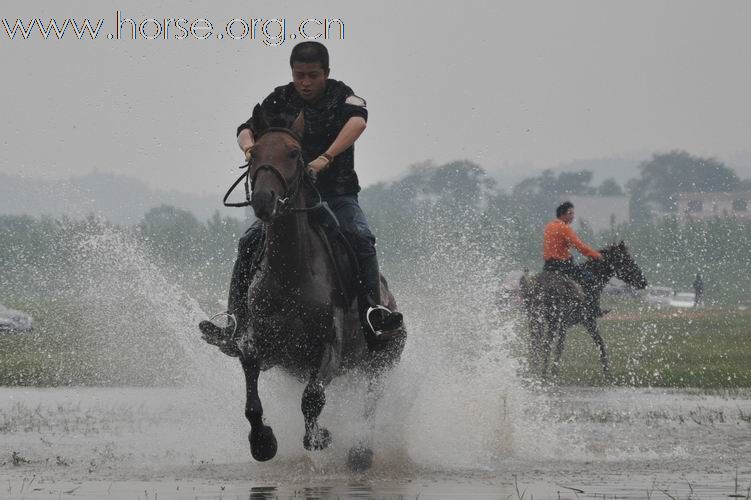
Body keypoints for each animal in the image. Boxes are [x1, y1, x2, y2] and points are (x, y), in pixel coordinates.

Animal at [239, 110, 406, 472]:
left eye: (293, 153)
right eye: (253, 153)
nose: (263, 200)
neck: (290, 274)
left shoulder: (330, 347)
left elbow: (312, 398)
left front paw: (320, 438)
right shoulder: (259, 344)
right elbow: (253, 399)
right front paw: (263, 443)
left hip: (380, 363)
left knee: (369, 405)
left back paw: (360, 453)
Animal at [524, 242, 648, 378]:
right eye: (627, 260)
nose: (644, 282)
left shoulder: (563, 325)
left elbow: (559, 346)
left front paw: (553, 370)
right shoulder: (588, 321)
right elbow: (599, 343)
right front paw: (607, 372)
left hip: (536, 319)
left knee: (535, 343)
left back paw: (535, 369)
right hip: (551, 321)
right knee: (544, 343)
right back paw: (543, 372)